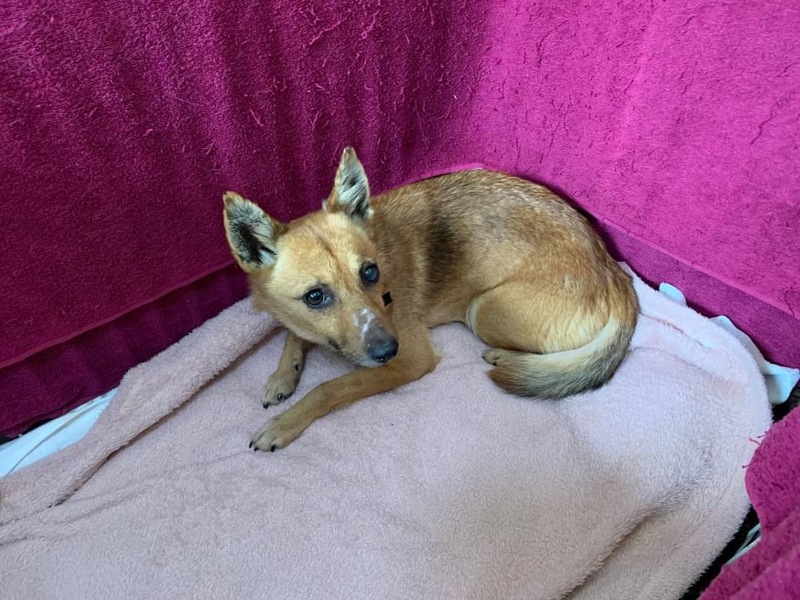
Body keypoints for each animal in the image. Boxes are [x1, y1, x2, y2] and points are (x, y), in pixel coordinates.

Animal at [223, 147, 638, 451]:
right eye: (315, 296)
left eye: (370, 272)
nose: (388, 350)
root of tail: (616, 272)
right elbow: (293, 334)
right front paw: (282, 375)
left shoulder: (411, 360)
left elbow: (332, 387)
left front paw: (285, 423)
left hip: (482, 310)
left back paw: (508, 359)